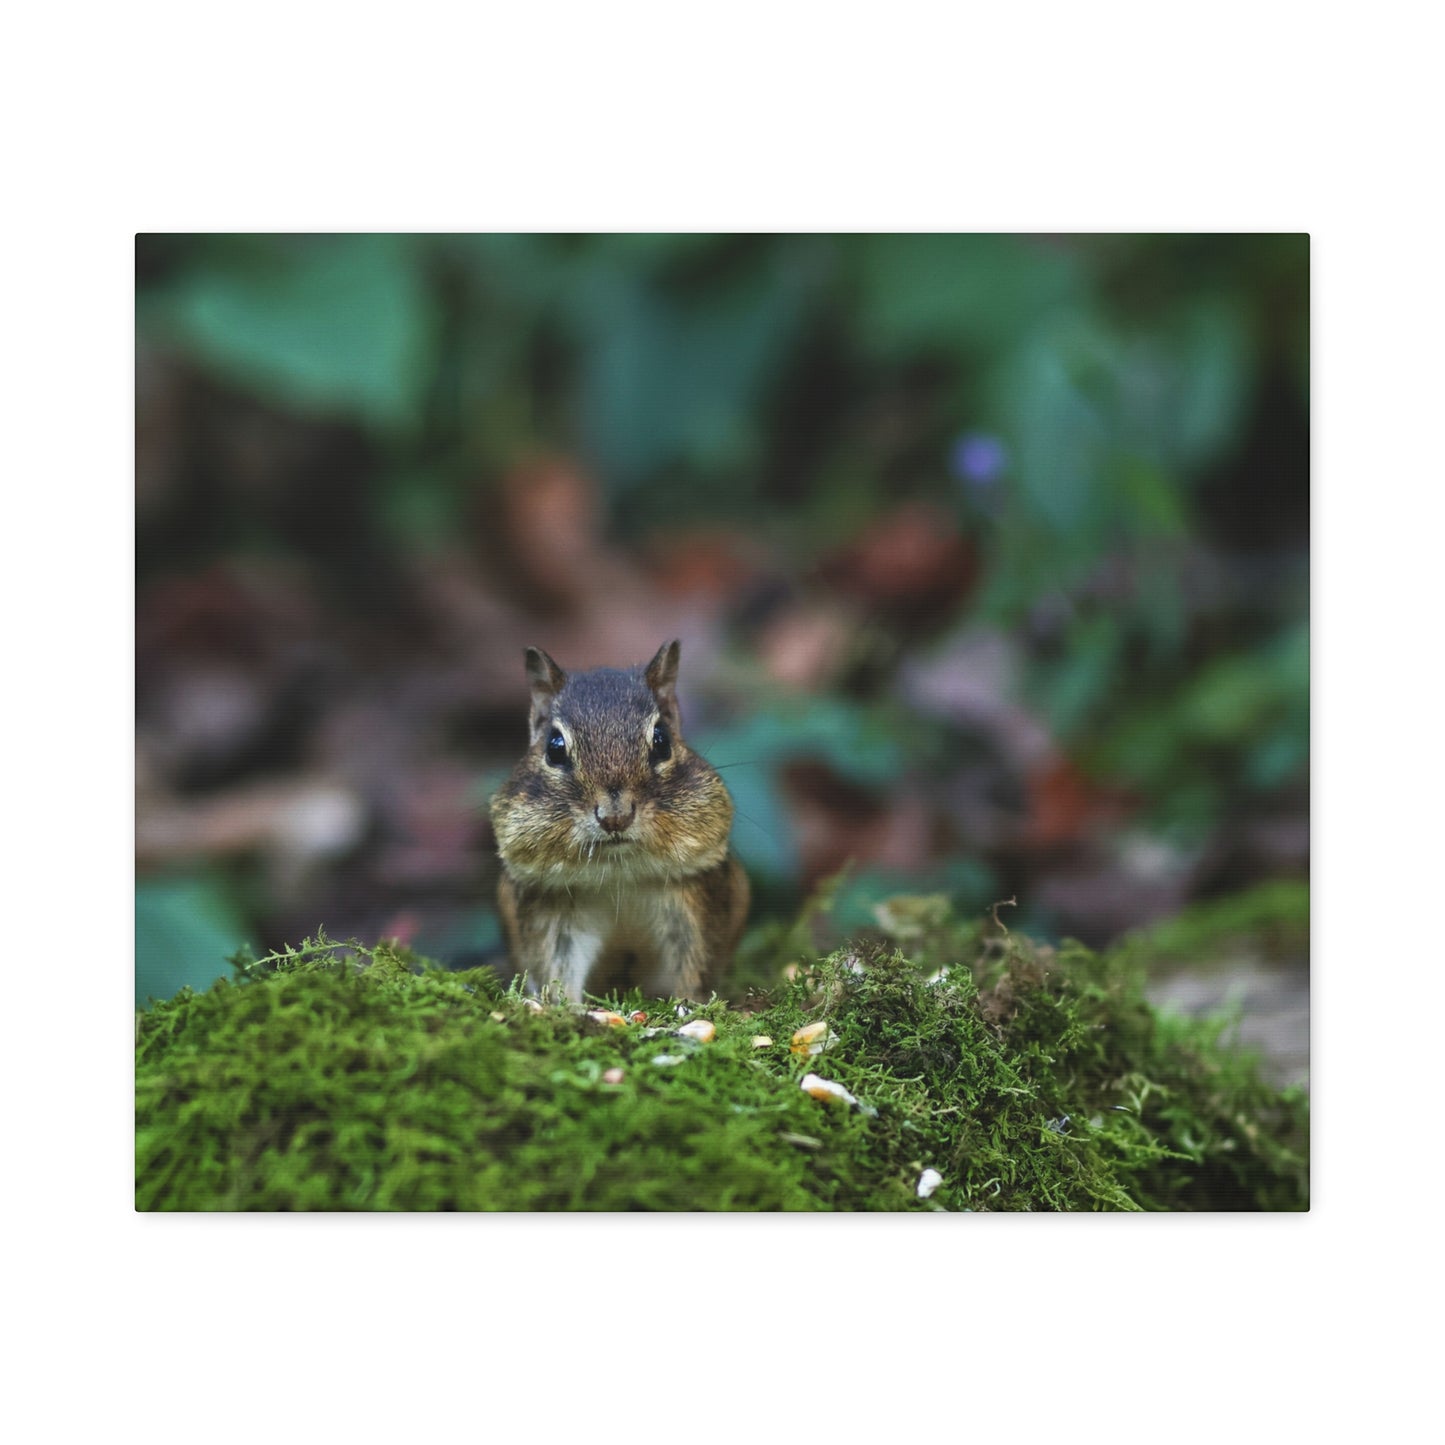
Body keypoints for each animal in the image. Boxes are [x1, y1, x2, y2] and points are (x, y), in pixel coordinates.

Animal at [489, 640, 749, 1003]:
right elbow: (557, 967)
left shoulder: (696, 899)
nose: (615, 817)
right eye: (554, 748)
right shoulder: (551, 912)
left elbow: (695, 963)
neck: (618, 875)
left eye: (662, 740)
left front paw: (689, 1005)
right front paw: (563, 1007)